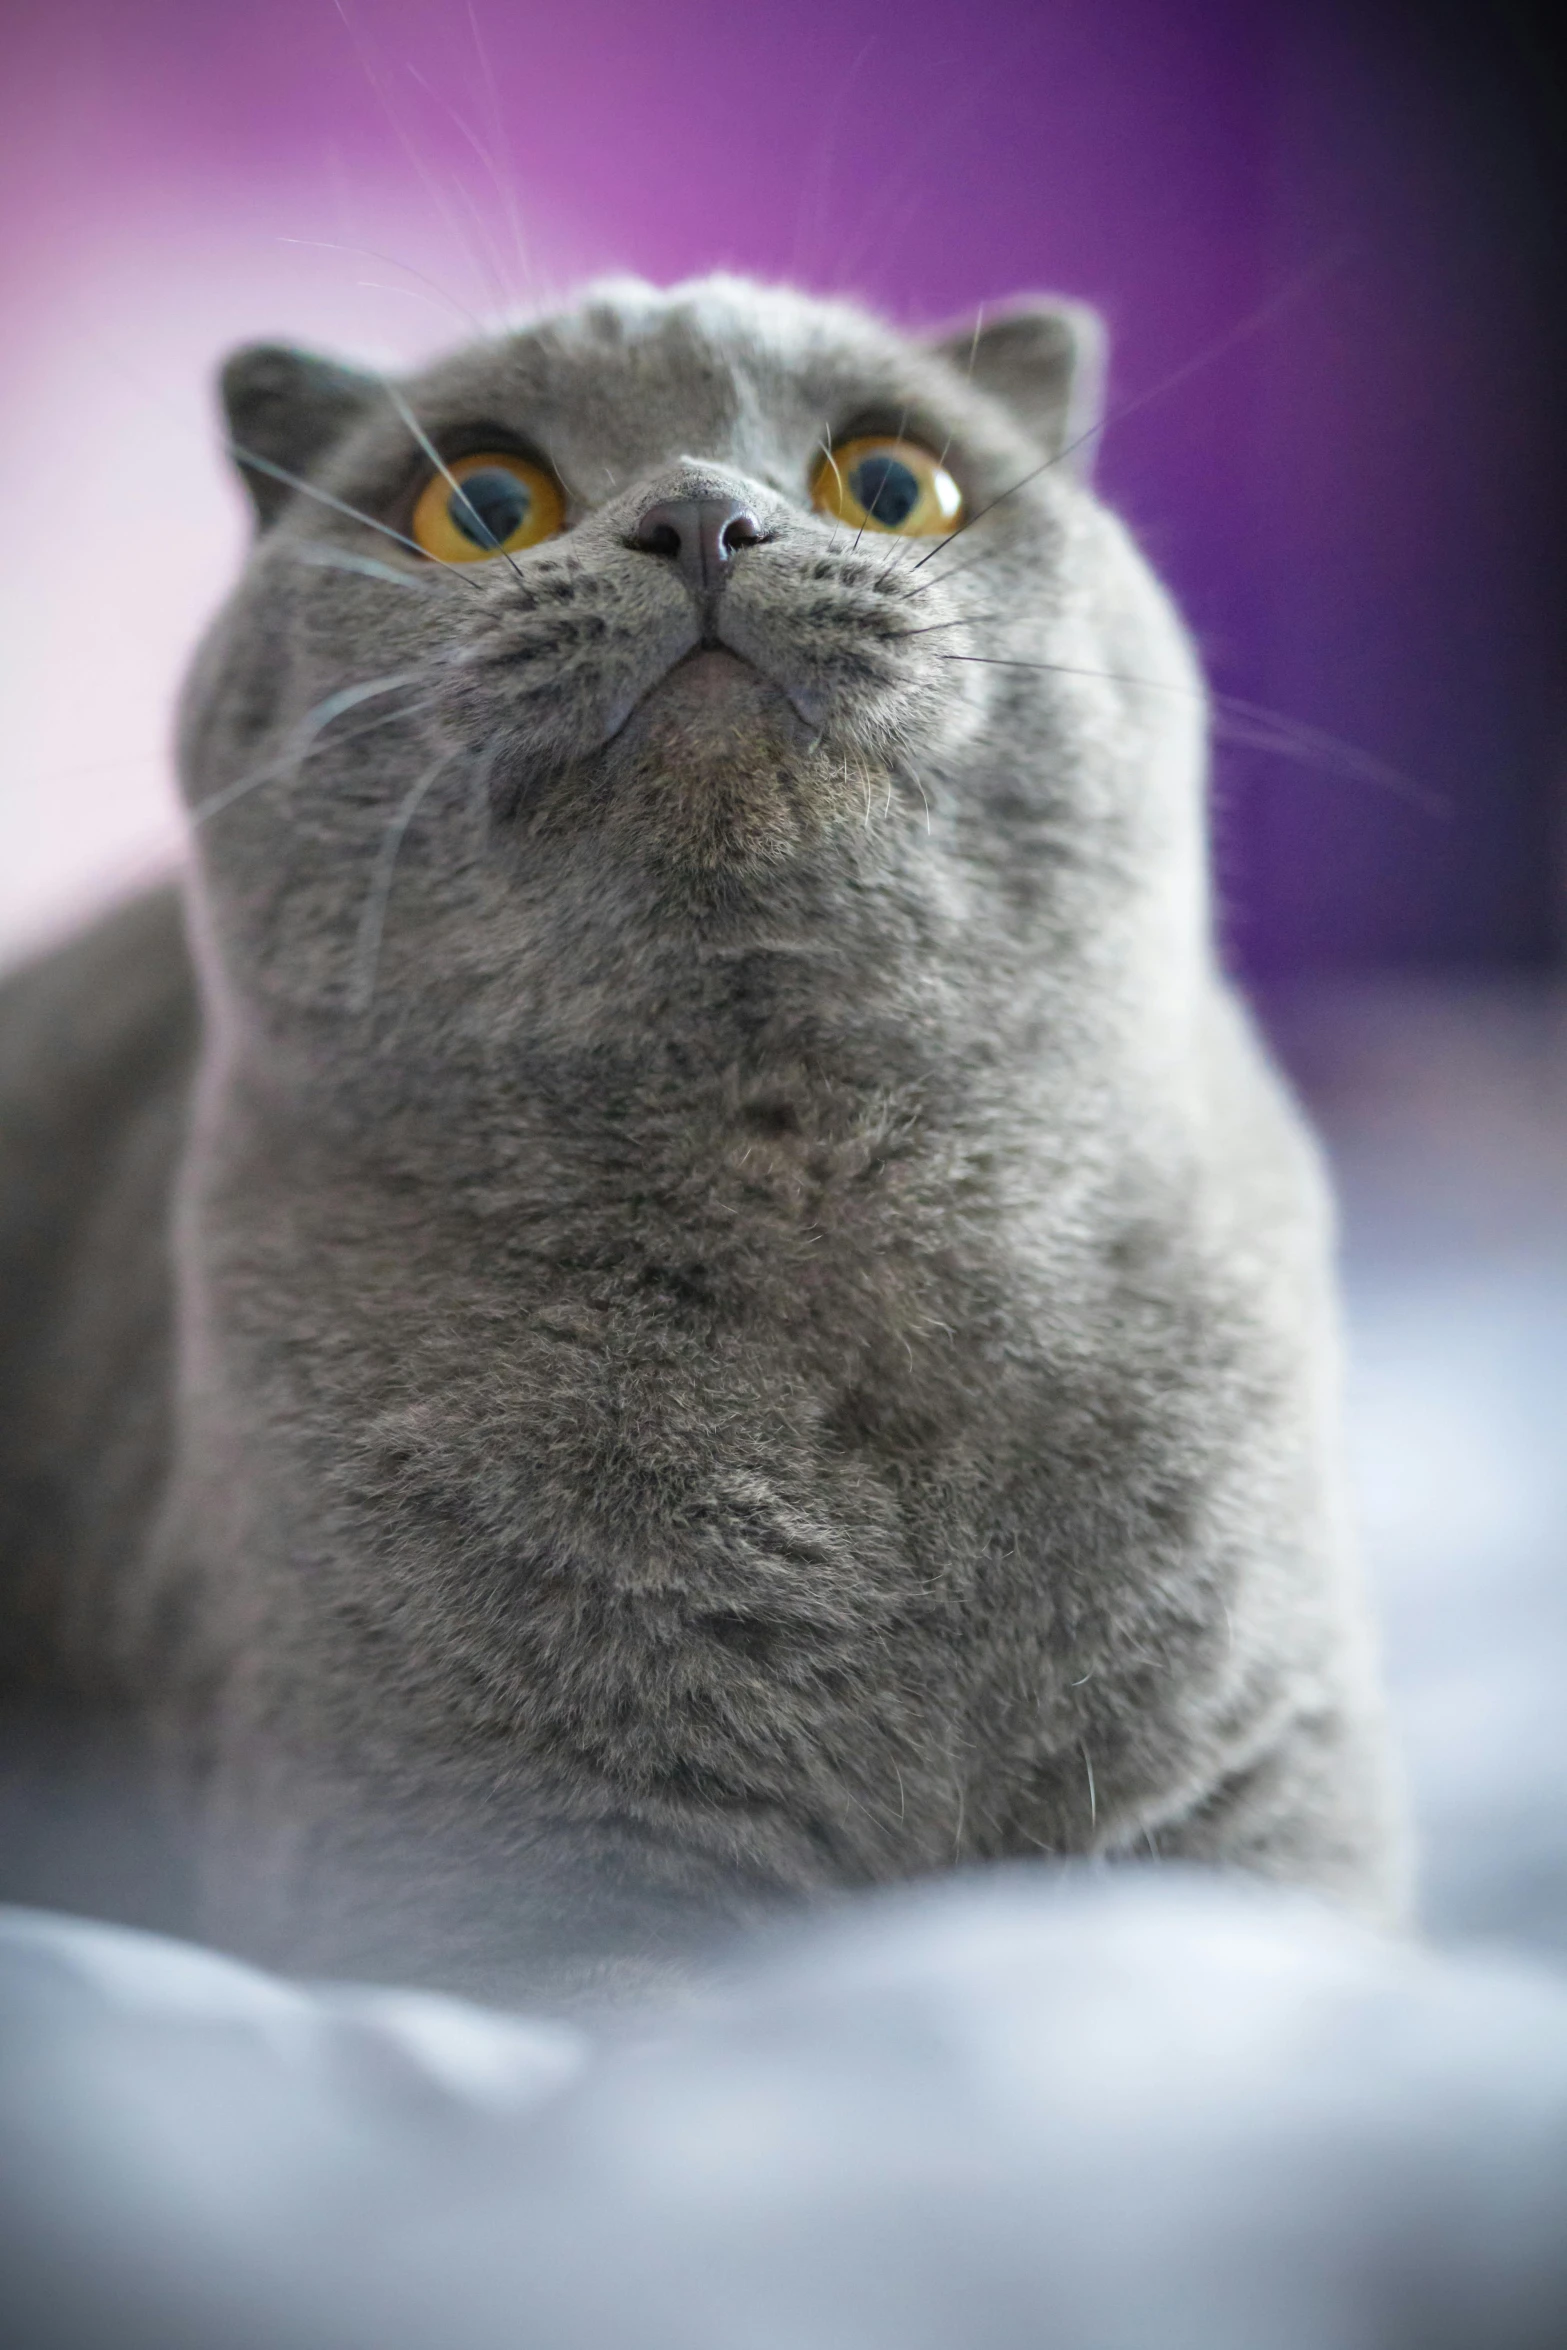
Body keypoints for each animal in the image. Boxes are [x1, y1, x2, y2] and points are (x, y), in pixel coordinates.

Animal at [0, 274, 1409, 2002]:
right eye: (482, 505)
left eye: (891, 486)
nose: (698, 517)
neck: (811, 1212)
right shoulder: (493, 1849)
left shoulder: (1250, 1783)